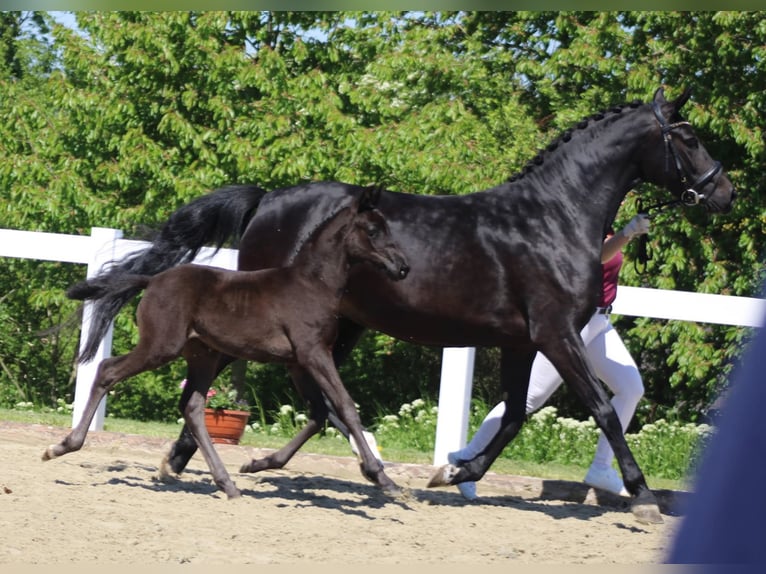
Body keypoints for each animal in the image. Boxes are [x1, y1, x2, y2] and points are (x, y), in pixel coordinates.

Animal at [46, 185, 410, 498]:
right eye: (373, 230)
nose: (403, 267)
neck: (311, 285)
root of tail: (152, 281)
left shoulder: (298, 362)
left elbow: (319, 414)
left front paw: (257, 463)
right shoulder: (314, 353)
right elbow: (346, 407)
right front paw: (379, 475)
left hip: (203, 354)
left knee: (192, 406)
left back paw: (228, 484)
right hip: (161, 346)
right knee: (108, 370)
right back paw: (61, 446)